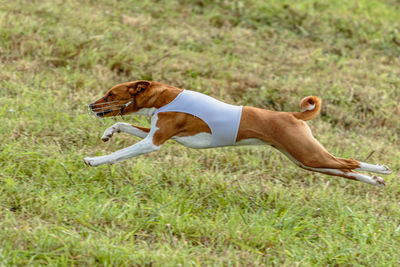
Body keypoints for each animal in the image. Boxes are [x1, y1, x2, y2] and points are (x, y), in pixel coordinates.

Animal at [84, 80, 390, 187]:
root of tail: (292, 115)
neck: (165, 98)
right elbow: (122, 126)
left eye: (110, 94)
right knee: (346, 170)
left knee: (348, 163)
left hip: (307, 154)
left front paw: (93, 160)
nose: (90, 105)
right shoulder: (154, 133)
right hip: (305, 160)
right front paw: (108, 133)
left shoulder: (154, 142)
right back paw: (376, 179)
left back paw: (382, 170)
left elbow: (119, 154)